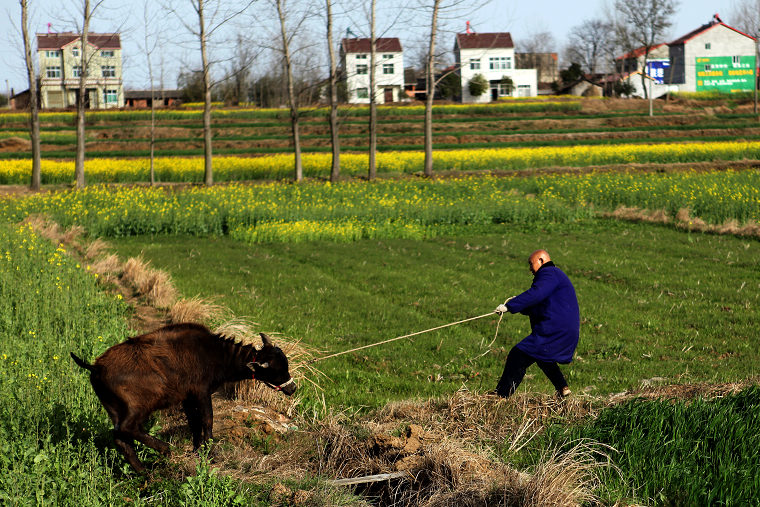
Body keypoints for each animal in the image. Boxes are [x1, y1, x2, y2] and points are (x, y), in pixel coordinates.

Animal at [70, 324, 296, 474]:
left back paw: (144, 472)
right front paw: (210, 453)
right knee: (128, 429)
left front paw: (197, 450)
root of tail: (96, 367)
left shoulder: (188, 398)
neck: (216, 354)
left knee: (120, 438)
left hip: (113, 408)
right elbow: (207, 420)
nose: (292, 388)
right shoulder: (201, 393)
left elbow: (194, 423)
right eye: (278, 370)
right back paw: (164, 449)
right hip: (139, 406)